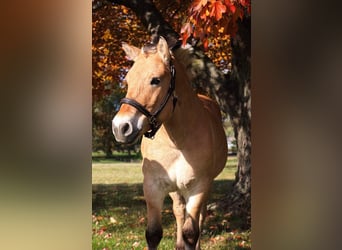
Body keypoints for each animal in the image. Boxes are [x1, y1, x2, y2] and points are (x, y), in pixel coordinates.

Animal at [112, 37, 228, 250]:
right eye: (127, 81)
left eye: (156, 80)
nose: (121, 127)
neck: (177, 142)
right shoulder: (153, 186)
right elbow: (153, 234)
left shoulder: (198, 187)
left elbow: (191, 232)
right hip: (176, 189)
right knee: (179, 210)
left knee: (199, 217)